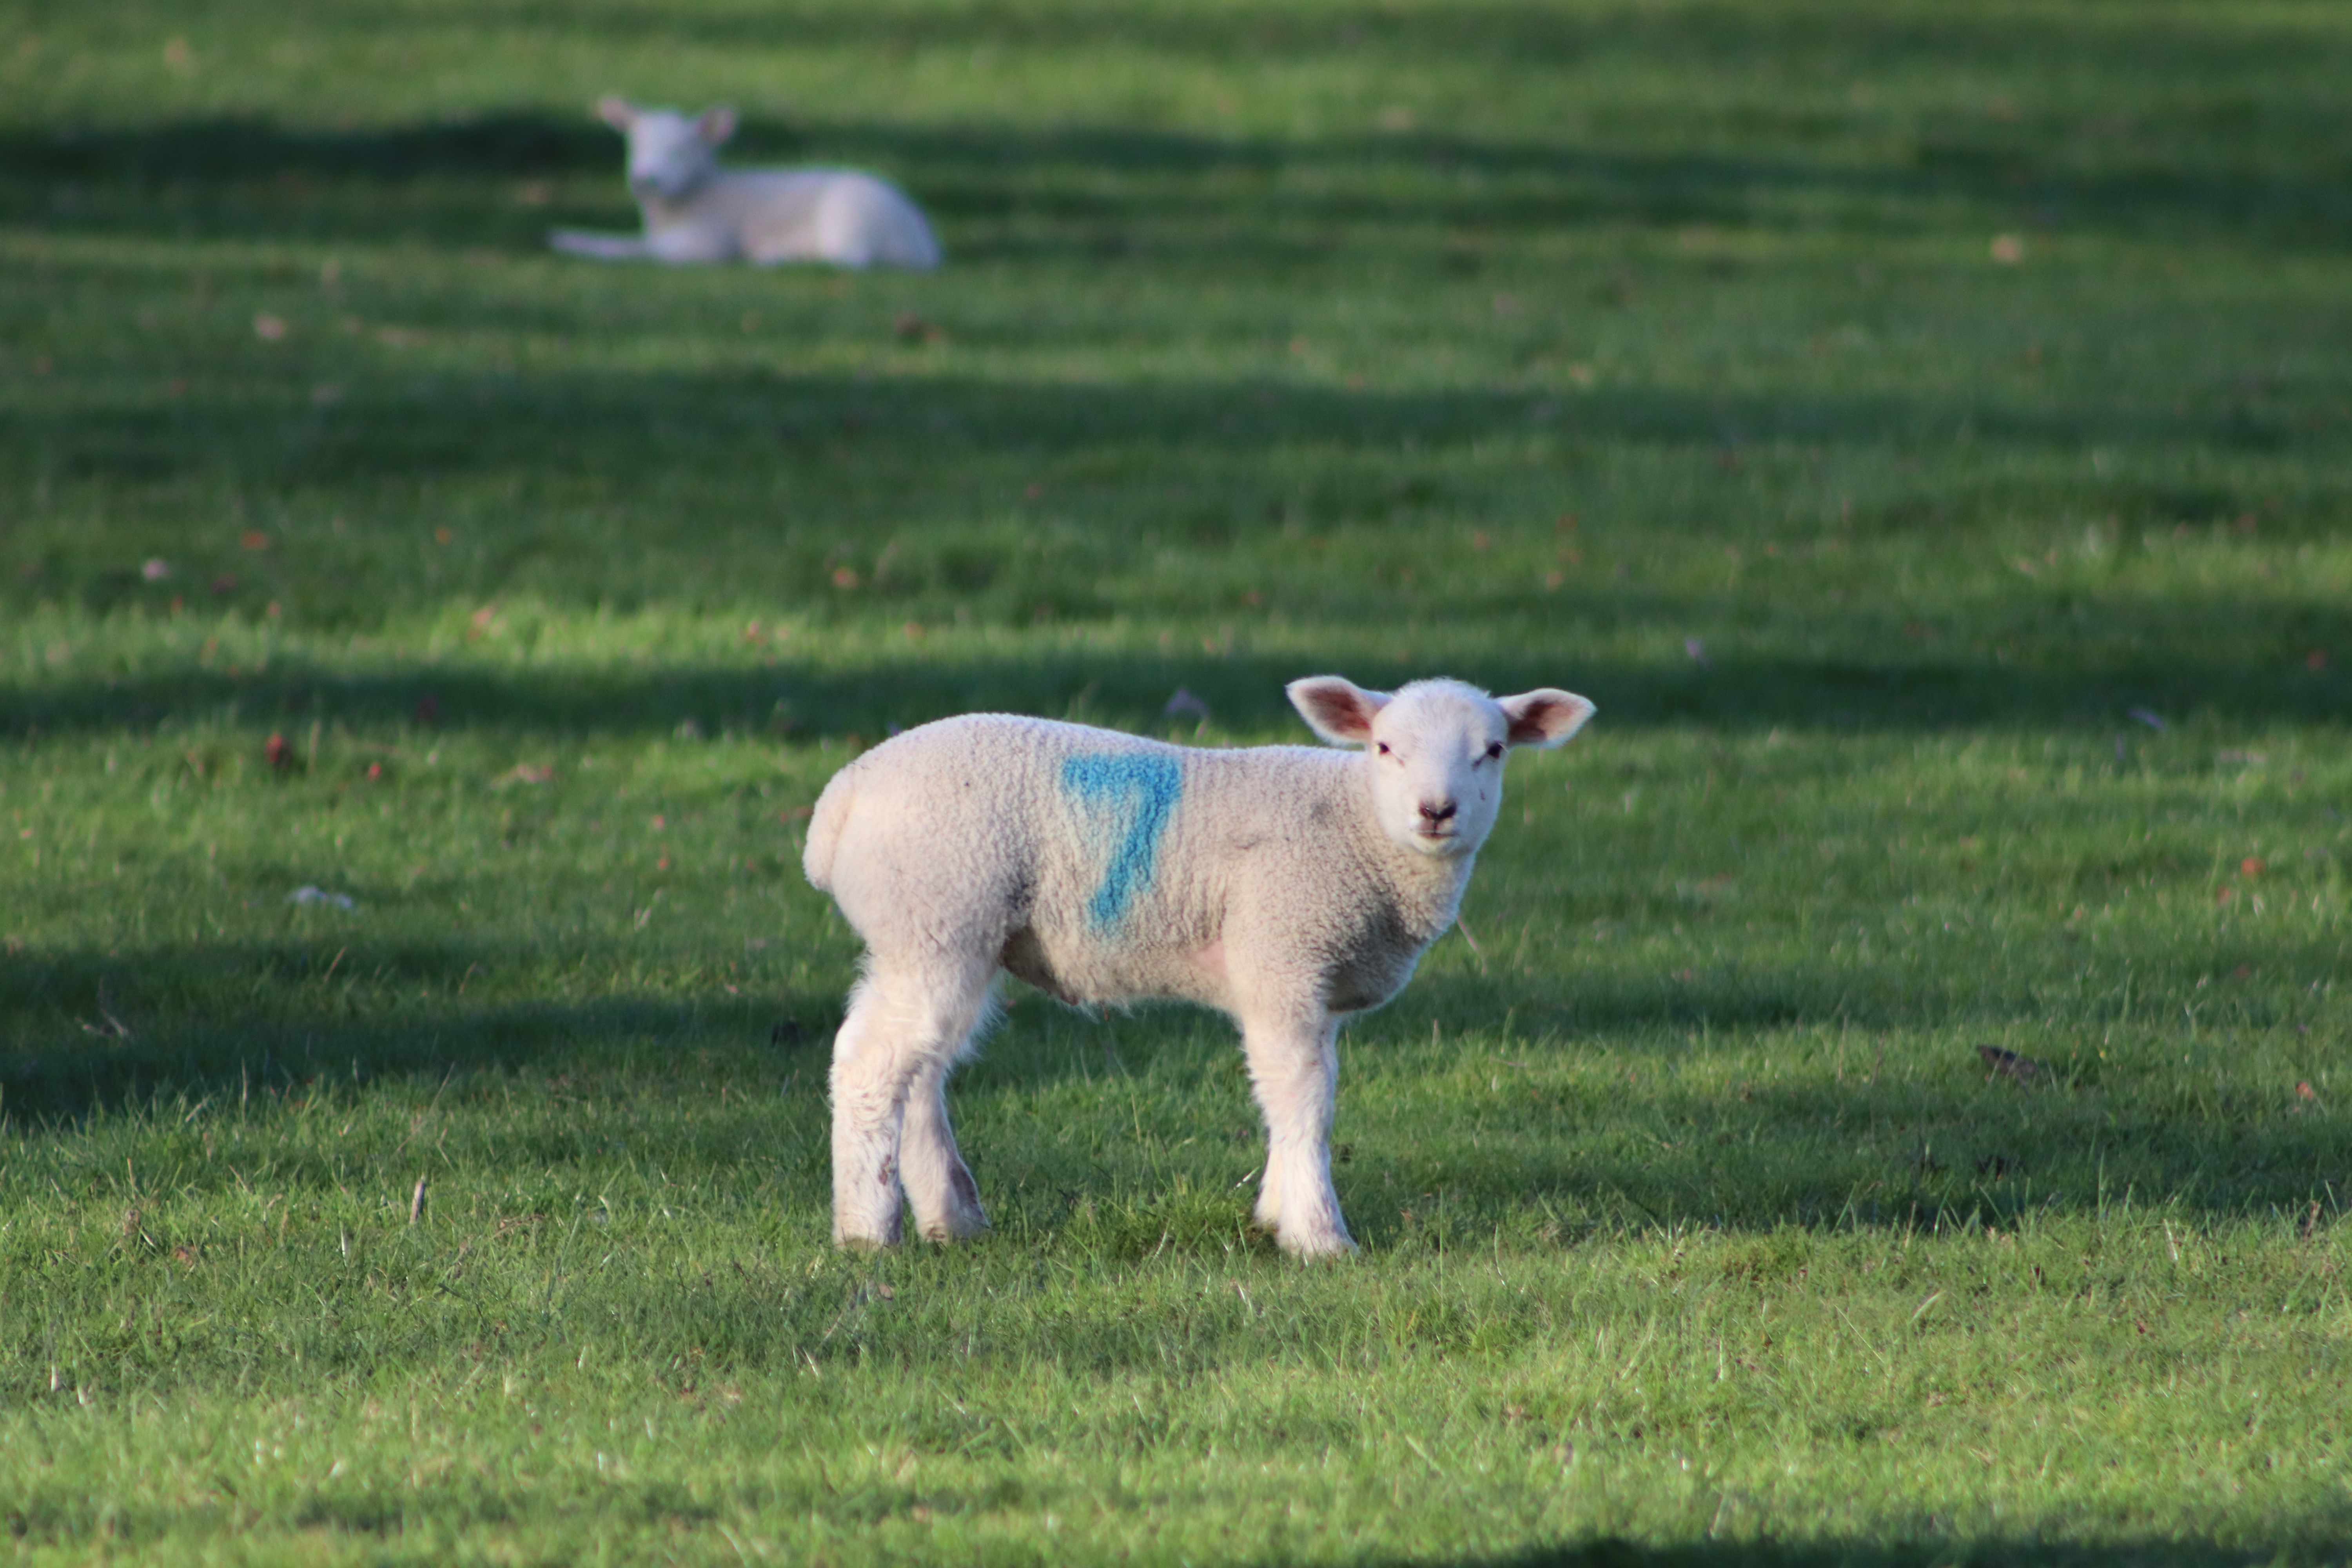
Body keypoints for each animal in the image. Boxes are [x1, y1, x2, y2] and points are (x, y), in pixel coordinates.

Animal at [549, 99, 942, 270]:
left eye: (681, 150)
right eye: (635, 146)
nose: (646, 180)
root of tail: (923, 246)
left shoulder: (705, 241)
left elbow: (642, 251)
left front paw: (579, 246)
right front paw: (565, 237)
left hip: (849, 219)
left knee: (849, 260)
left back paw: (776, 256)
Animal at [801, 675, 1596, 1258]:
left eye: (1494, 750)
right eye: (1385, 747)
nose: (1437, 811)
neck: (1360, 831)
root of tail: (840, 803)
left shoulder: (1309, 982)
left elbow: (1297, 1095)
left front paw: (1276, 1212)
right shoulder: (1281, 955)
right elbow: (1303, 1096)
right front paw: (1318, 1237)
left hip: (938, 936)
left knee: (921, 1069)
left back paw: (951, 1218)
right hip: (938, 913)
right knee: (871, 1062)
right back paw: (867, 1233)